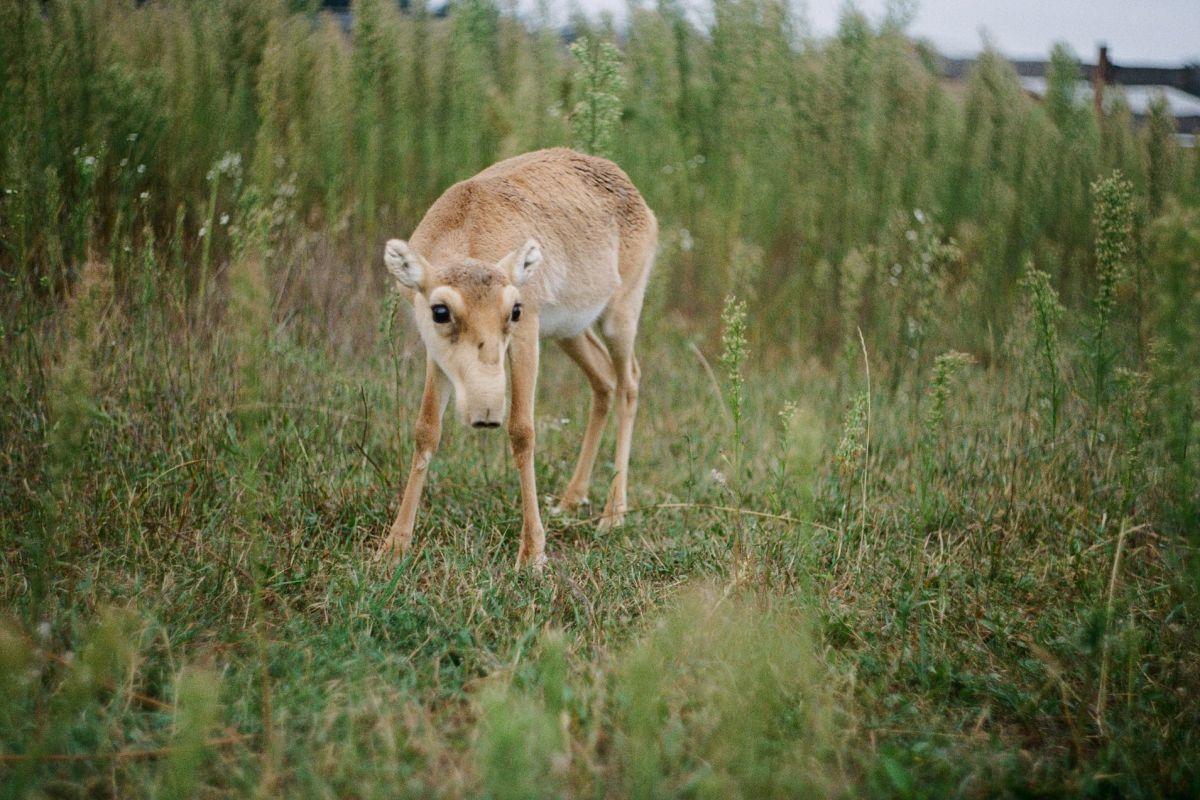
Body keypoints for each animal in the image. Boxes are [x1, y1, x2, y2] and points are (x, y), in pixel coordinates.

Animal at [374, 145, 657, 568]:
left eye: (515, 310)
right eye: (440, 311)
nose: (486, 413)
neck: (467, 227)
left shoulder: (526, 337)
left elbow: (522, 430)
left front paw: (533, 552)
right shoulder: (435, 354)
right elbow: (426, 431)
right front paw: (394, 546)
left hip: (620, 315)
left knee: (629, 384)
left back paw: (612, 515)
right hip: (569, 331)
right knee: (603, 381)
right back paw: (570, 500)